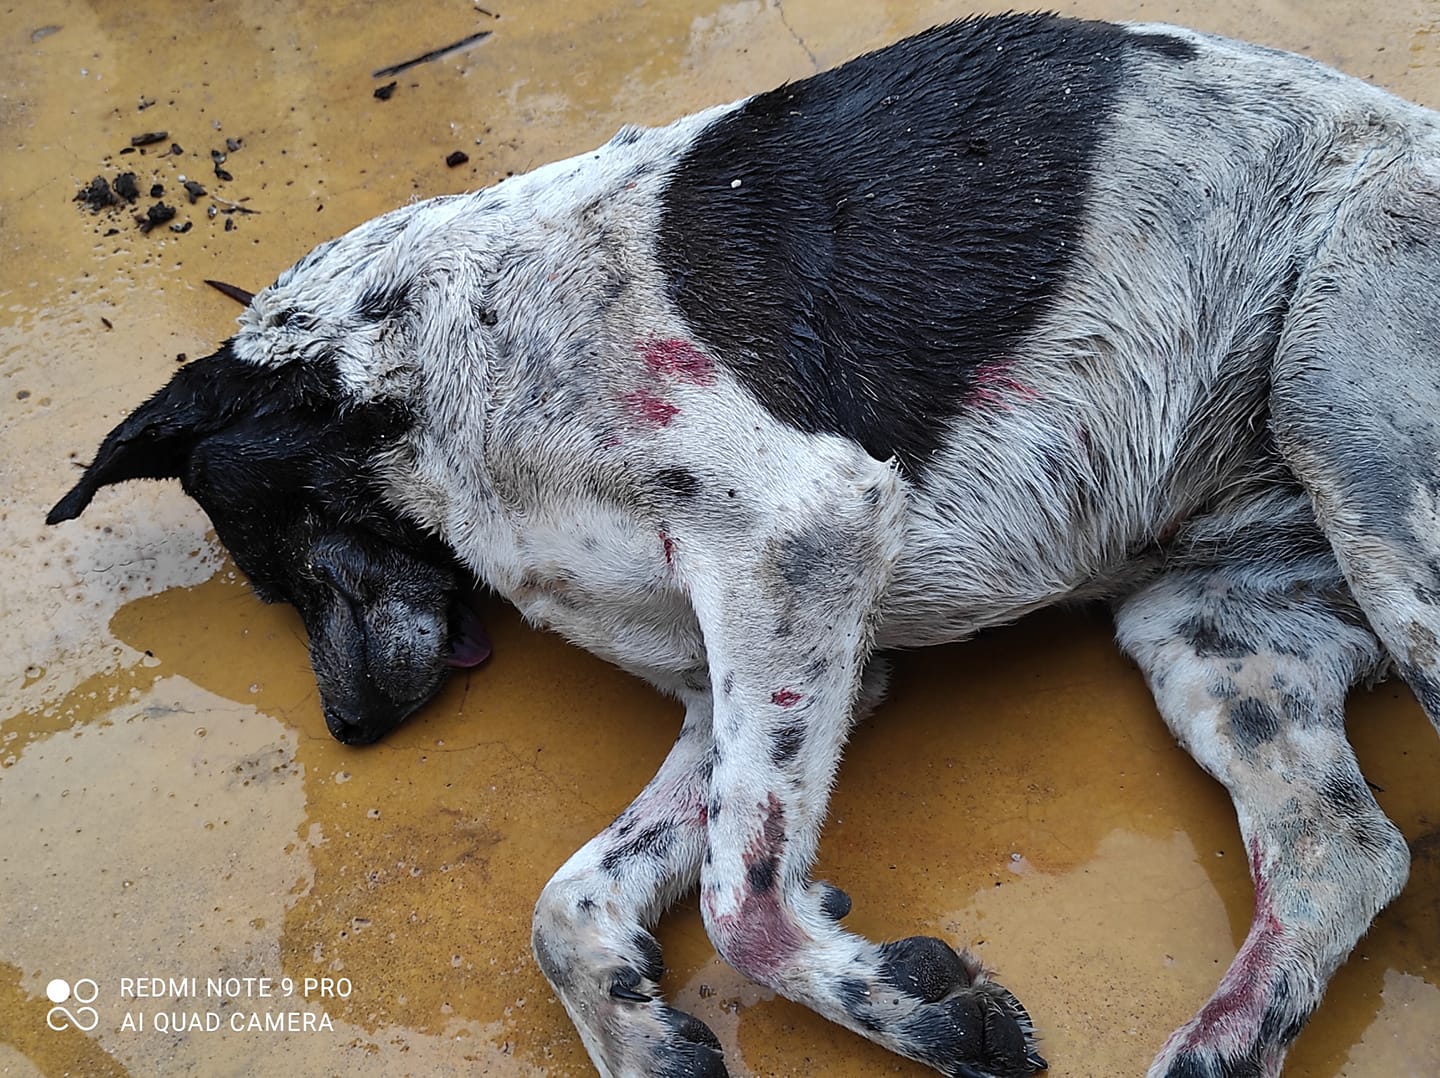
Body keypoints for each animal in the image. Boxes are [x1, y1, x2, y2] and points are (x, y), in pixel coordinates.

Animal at [47, 16, 1440, 1076]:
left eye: (272, 560)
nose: (345, 729)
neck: (421, 366)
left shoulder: (799, 541)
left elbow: (742, 901)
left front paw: (914, 1011)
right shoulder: (737, 679)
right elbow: (566, 904)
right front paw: (637, 1029)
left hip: (1341, 402)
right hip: (1212, 630)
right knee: (1342, 854)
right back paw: (1221, 1042)